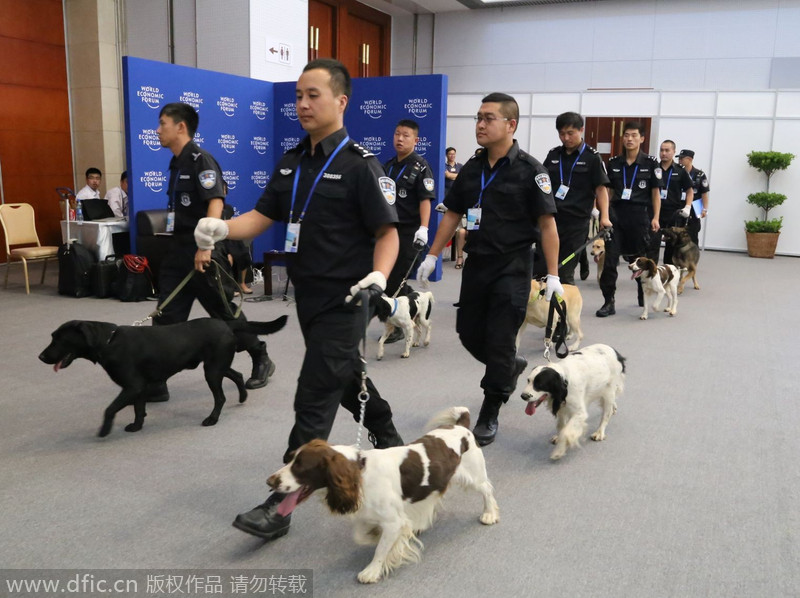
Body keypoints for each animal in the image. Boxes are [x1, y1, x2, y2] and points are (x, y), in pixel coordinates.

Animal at [39, 318, 288, 440]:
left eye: (59, 339)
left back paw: (212, 419)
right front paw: (136, 426)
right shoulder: (138, 388)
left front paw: (104, 430)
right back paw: (243, 396)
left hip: (212, 370)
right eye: (52, 337)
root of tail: (226, 323)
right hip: (216, 366)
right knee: (237, 375)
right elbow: (139, 409)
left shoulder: (132, 386)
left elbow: (110, 409)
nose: (40, 357)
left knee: (220, 397)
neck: (109, 342)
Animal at [266, 408, 496, 584]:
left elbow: (381, 549)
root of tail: (461, 427)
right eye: (290, 459)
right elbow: (361, 536)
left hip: (473, 475)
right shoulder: (369, 513)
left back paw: (489, 514)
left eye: (300, 466)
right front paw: (377, 536)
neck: (360, 471)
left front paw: (371, 571)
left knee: (487, 489)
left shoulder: (393, 521)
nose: (270, 482)